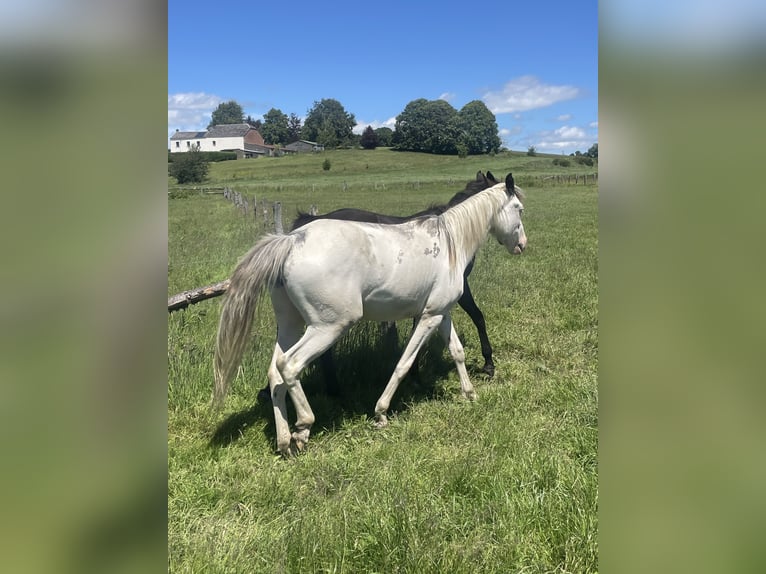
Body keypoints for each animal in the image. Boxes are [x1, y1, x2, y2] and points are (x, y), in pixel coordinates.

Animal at [254, 171, 505, 403]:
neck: (452, 232)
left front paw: (415, 376)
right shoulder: (458, 290)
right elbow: (478, 317)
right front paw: (488, 363)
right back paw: (334, 390)